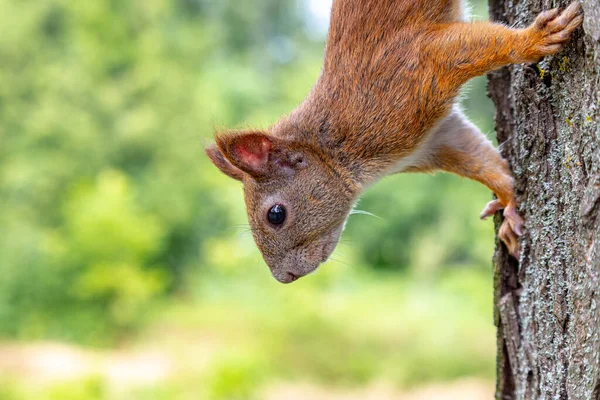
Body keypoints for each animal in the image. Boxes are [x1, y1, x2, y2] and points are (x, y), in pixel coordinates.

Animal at [205, 1, 580, 284]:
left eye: (276, 215)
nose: (284, 278)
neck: (335, 146)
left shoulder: (415, 70)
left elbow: (476, 46)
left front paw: (535, 40)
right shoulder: (437, 140)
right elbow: (482, 162)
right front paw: (509, 200)